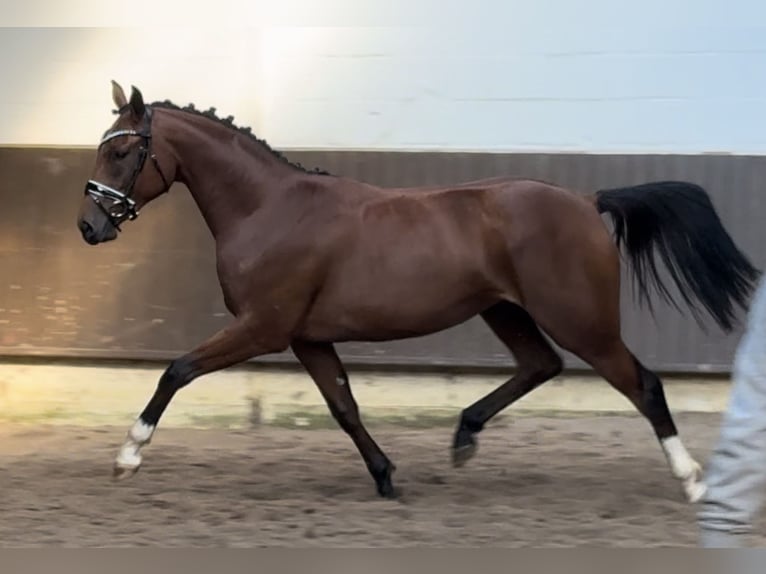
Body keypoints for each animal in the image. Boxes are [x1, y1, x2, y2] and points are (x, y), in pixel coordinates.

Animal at [75, 81, 760, 504]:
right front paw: (386, 478)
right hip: (507, 311)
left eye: (127, 150)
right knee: (541, 365)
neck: (269, 207)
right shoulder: (306, 337)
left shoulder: (263, 327)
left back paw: (694, 482)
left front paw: (128, 456)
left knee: (642, 384)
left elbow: (177, 369)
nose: (89, 226)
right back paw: (463, 436)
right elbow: (344, 407)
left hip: (580, 319)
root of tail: (587, 201)